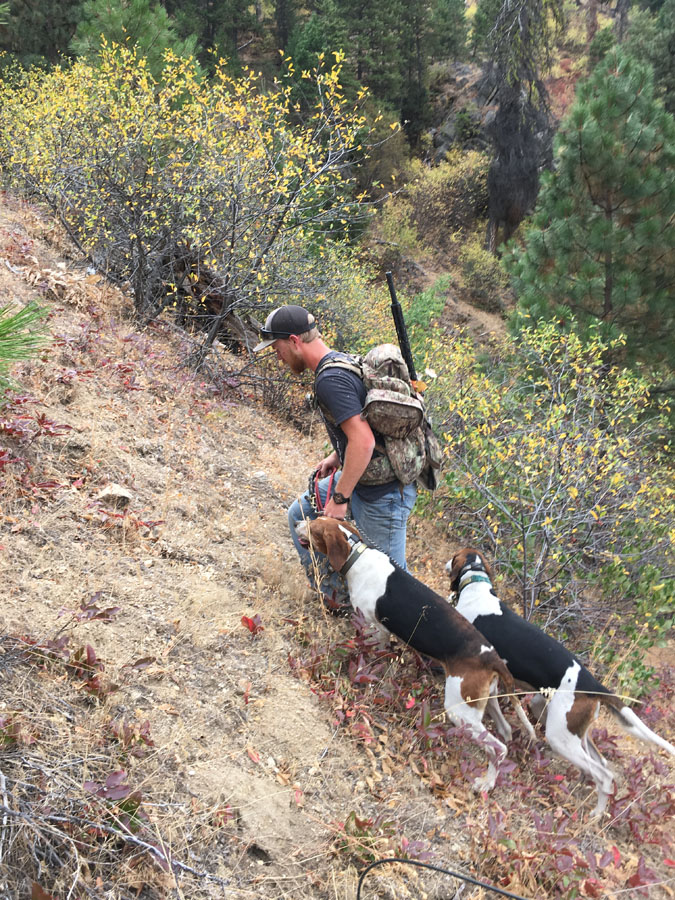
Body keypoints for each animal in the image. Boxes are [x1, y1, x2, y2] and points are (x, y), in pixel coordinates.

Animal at [296, 516, 540, 792]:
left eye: (313, 527)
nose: (297, 522)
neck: (357, 555)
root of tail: (492, 656)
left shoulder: (373, 628)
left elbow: (368, 656)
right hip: (487, 701)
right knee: (506, 731)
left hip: (460, 711)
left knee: (498, 748)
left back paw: (485, 784)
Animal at [446, 548, 672, 816]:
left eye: (455, 556)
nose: (447, 563)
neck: (477, 586)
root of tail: (594, 685)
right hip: (561, 723)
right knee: (601, 763)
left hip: (560, 736)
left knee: (604, 775)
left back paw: (595, 816)